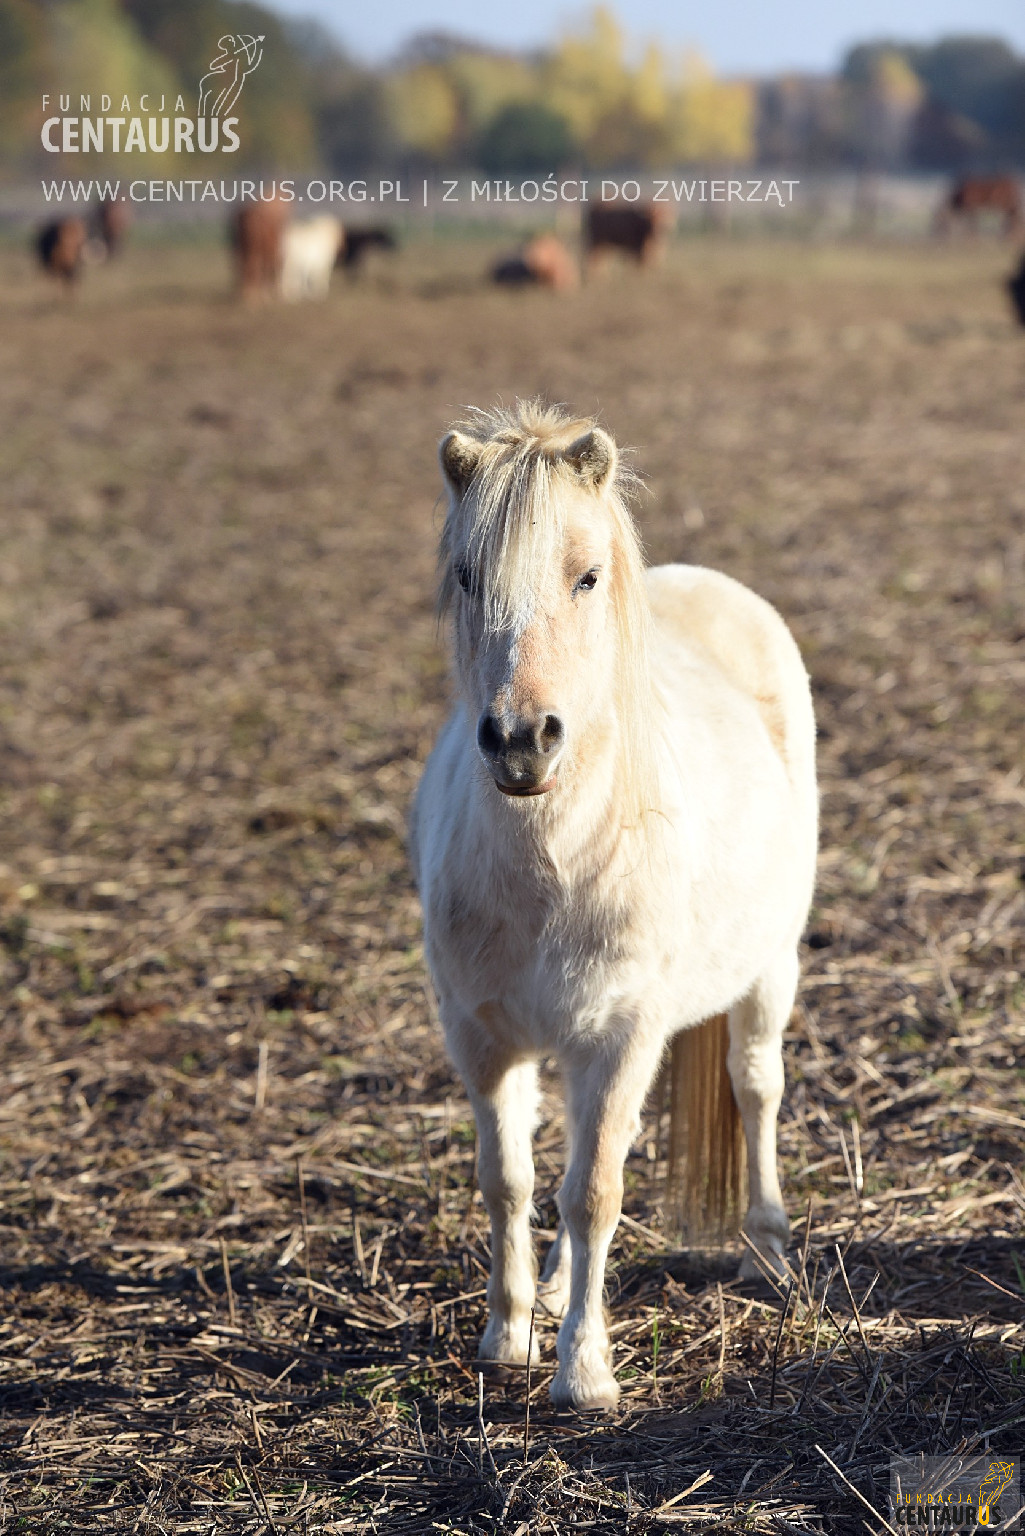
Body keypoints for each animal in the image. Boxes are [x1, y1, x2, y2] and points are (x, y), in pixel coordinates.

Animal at [408, 402, 817, 1406]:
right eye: (468, 576)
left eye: (585, 575)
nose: (521, 741)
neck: (550, 862)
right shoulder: (482, 1038)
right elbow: (511, 1182)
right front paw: (508, 1336)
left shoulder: (623, 1036)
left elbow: (595, 1190)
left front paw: (584, 1373)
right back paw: (558, 1287)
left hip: (768, 970)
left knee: (755, 1088)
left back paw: (766, 1253)